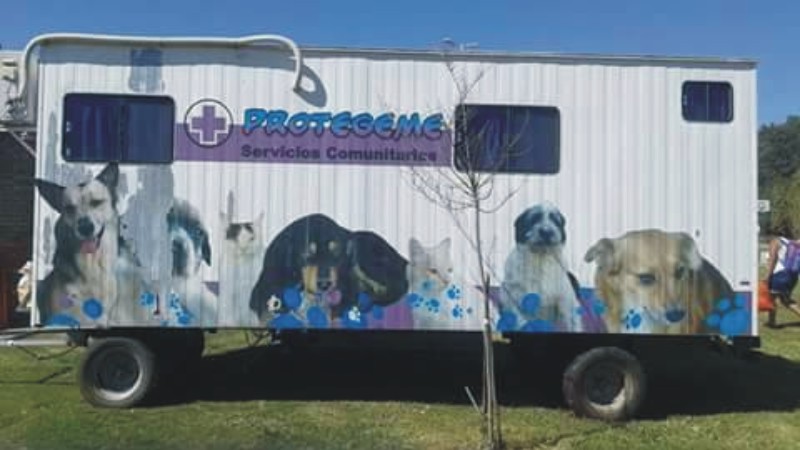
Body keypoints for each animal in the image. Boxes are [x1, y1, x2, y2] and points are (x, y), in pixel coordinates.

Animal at [249, 214, 409, 325]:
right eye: (307, 253)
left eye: (335, 252)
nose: (325, 284)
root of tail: (403, 260)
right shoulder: (263, 289)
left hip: (366, 257)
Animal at [499, 202, 582, 332]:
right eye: (534, 219)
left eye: (555, 220)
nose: (546, 232)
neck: (541, 258)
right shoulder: (515, 301)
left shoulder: (567, 303)